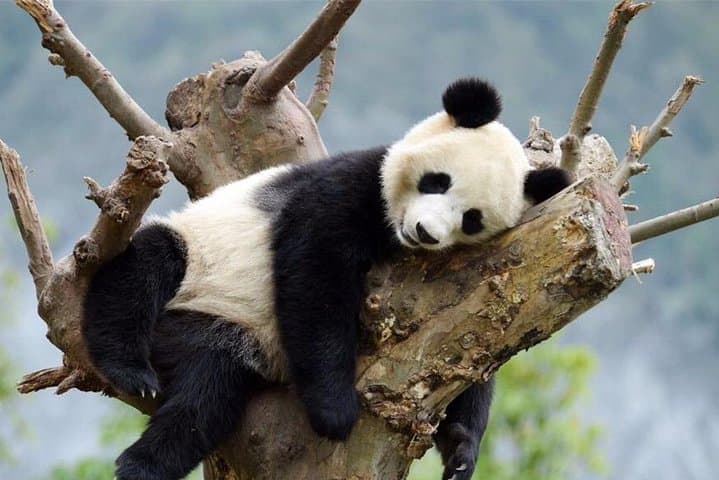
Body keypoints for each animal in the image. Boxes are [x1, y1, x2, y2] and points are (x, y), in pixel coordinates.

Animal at [82, 77, 570, 480]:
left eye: (471, 219)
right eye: (437, 181)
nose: (425, 232)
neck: (393, 235)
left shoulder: (464, 279)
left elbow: (474, 347)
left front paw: (460, 450)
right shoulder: (349, 187)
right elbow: (314, 274)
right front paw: (334, 412)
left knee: (209, 395)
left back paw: (147, 461)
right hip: (192, 272)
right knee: (150, 265)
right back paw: (130, 375)